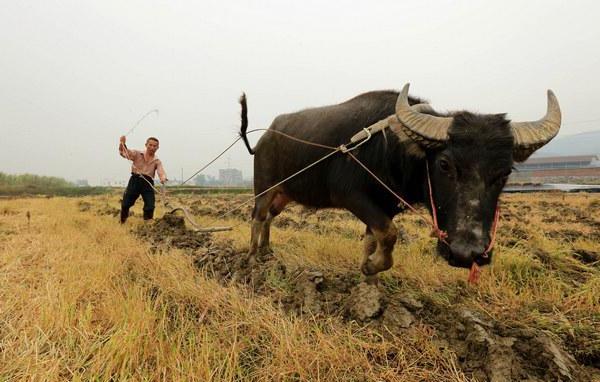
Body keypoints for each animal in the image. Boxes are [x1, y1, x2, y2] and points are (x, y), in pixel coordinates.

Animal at [239, 84, 564, 280]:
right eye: (444, 164)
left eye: (505, 172)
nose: (467, 254)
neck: (393, 149)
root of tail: (263, 139)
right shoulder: (351, 195)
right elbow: (390, 234)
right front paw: (373, 266)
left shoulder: (385, 205)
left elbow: (375, 237)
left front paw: (367, 270)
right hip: (264, 188)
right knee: (257, 217)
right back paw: (252, 258)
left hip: (283, 195)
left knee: (269, 219)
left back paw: (267, 251)